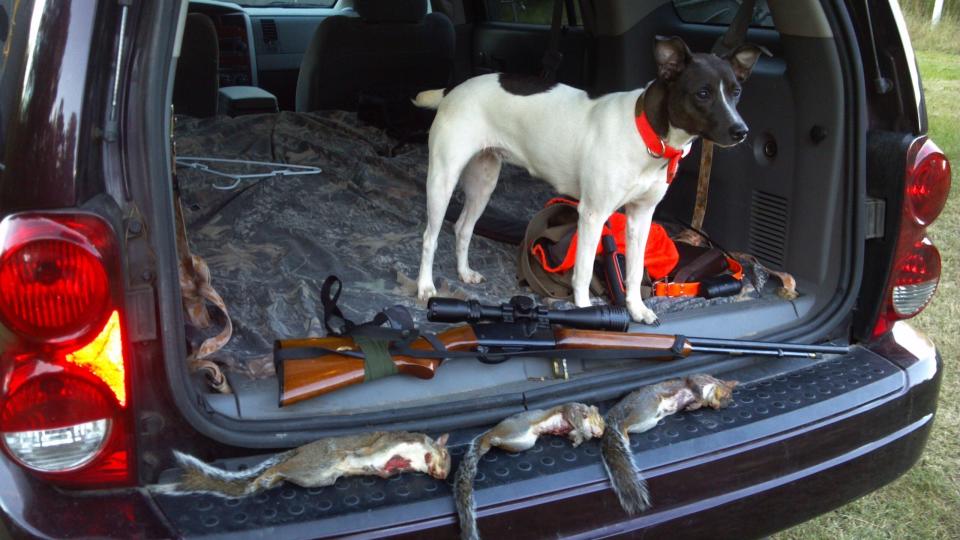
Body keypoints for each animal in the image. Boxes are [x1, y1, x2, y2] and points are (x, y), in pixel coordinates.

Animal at [410, 38, 764, 324]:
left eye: (736, 92)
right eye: (703, 93)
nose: (741, 131)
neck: (647, 136)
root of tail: (454, 89)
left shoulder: (640, 218)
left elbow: (634, 271)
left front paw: (636, 309)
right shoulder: (592, 215)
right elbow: (582, 272)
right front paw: (585, 313)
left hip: (484, 181)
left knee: (463, 228)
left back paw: (464, 273)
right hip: (443, 178)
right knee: (430, 236)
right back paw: (426, 286)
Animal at [454, 402, 604, 540]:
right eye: (600, 419)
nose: (600, 434)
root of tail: (491, 432)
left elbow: (573, 433)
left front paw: (578, 438)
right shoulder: (572, 409)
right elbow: (576, 419)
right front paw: (585, 434)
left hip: (524, 442)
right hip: (517, 429)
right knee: (493, 439)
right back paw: (494, 439)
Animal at [604, 374, 740, 516]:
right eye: (726, 396)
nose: (717, 407)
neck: (711, 384)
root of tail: (619, 408)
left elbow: (698, 403)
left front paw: (694, 405)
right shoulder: (696, 379)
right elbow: (695, 387)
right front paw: (698, 398)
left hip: (647, 422)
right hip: (646, 407)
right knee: (623, 424)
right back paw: (623, 436)